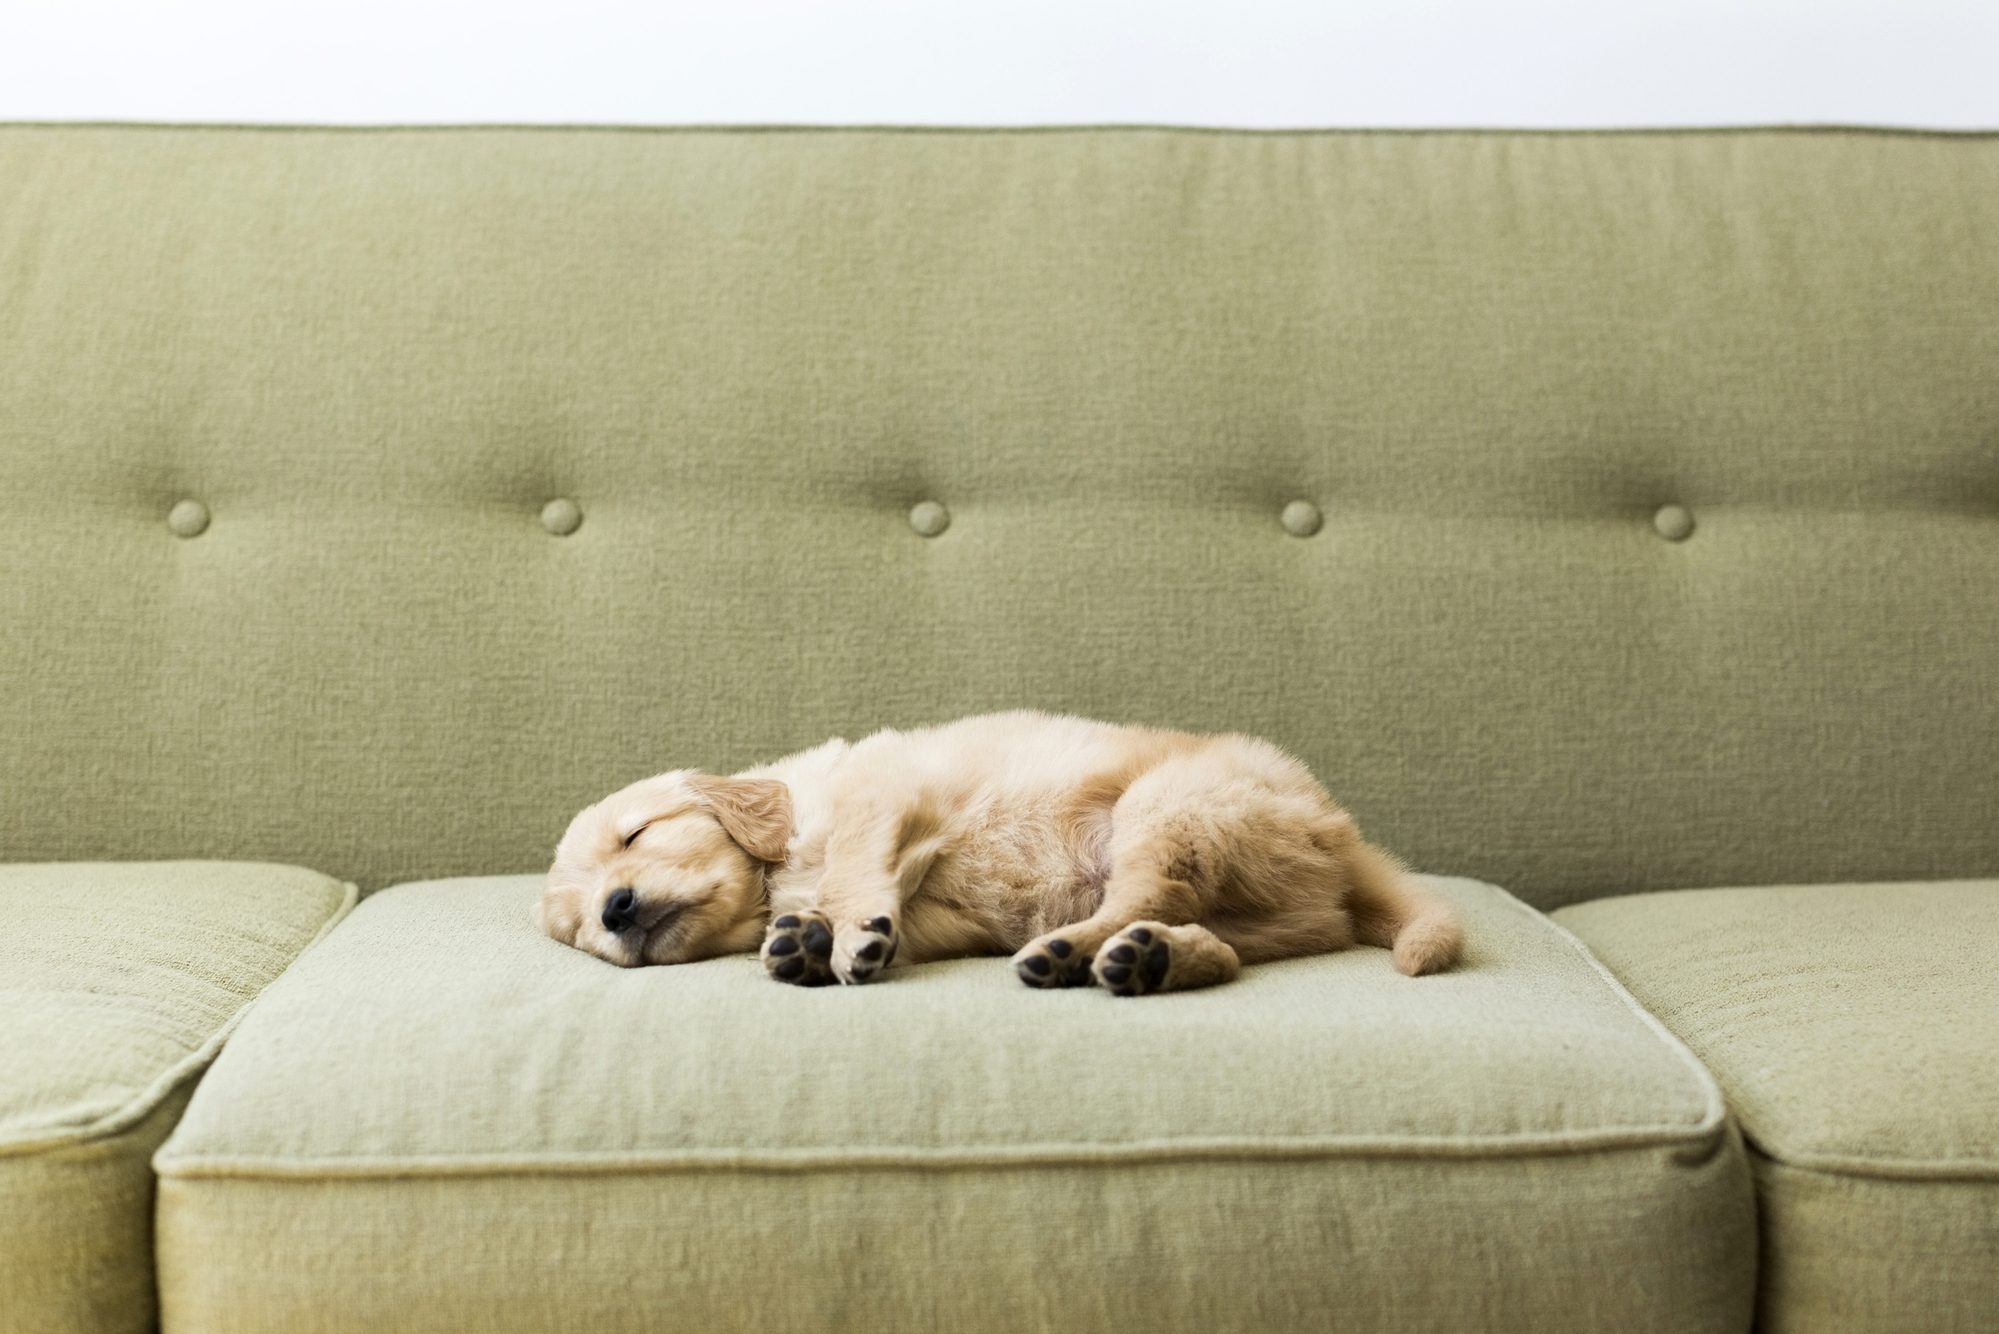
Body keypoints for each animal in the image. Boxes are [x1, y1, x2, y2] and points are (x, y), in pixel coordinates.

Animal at [539, 716, 1463, 996]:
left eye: (636, 835)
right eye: (579, 928)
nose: (616, 909)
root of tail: (1339, 832)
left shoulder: (885, 789)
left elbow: (853, 865)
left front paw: (839, 932)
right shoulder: (939, 915)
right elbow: (888, 913)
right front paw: (808, 940)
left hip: (1169, 806)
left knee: (1142, 894)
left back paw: (1071, 952)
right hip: (1251, 899)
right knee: (1214, 941)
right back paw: (1147, 960)